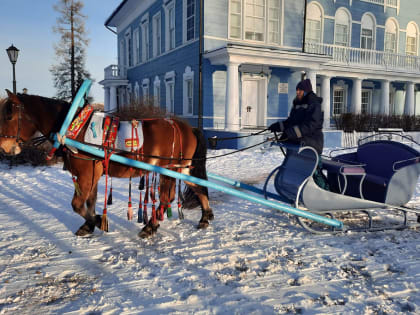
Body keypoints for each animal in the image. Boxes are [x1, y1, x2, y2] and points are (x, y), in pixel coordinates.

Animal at [0, 90, 213, 237]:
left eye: (9, 116)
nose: (3, 147)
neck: (72, 126)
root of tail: (188, 128)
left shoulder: (86, 172)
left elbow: (77, 205)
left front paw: (96, 221)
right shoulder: (93, 172)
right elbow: (90, 201)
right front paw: (89, 225)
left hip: (170, 169)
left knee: (167, 197)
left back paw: (150, 226)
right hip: (181, 168)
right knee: (197, 188)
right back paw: (205, 217)